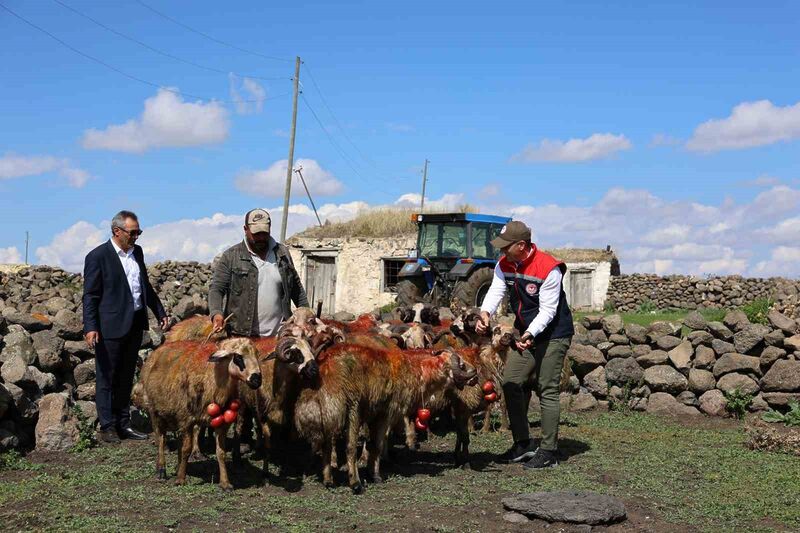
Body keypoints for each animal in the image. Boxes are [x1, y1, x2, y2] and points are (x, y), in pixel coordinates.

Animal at [139, 338, 260, 488]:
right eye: (238, 357)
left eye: (257, 355)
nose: (257, 380)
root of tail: (159, 349)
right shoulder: (186, 419)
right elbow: (186, 449)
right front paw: (180, 479)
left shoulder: (220, 423)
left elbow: (221, 452)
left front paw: (225, 483)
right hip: (155, 412)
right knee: (161, 439)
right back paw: (161, 469)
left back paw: (178, 467)